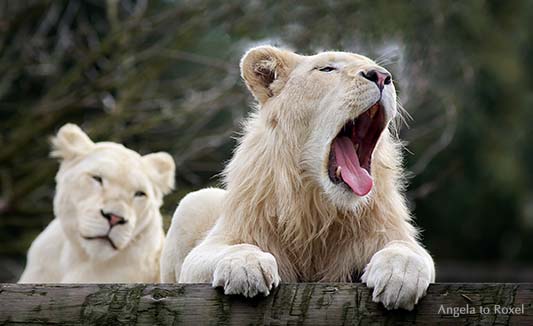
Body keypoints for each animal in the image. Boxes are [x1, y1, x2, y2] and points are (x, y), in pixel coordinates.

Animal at [161, 45, 432, 310]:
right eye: (326, 69)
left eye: (380, 71)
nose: (381, 76)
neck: (316, 205)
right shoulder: (212, 247)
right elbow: (234, 247)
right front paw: (247, 267)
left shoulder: (387, 232)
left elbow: (406, 248)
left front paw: (399, 277)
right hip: (195, 201)